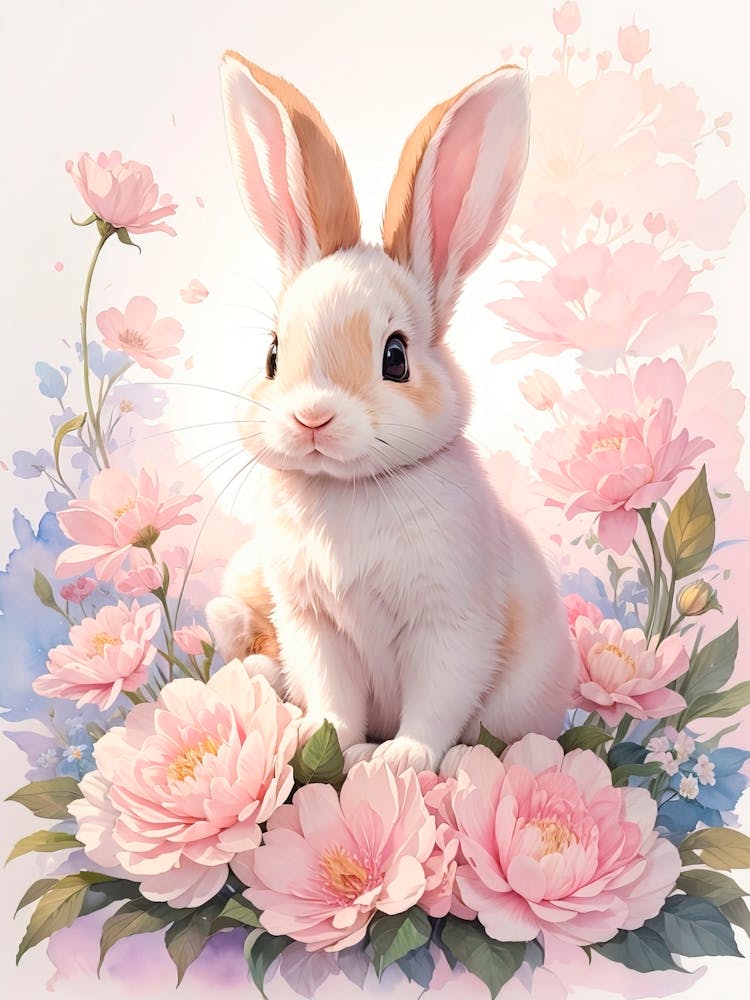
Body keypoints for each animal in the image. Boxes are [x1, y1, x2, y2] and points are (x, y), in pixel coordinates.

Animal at [206, 51, 576, 774]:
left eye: (396, 356)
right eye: (272, 353)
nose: (312, 420)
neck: (347, 491)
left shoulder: (451, 623)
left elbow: (437, 700)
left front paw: (398, 760)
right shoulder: (312, 626)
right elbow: (334, 699)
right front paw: (319, 740)